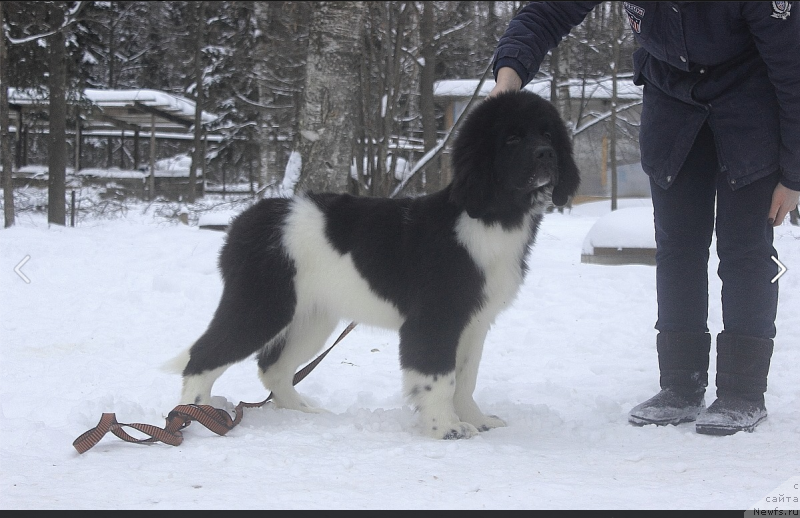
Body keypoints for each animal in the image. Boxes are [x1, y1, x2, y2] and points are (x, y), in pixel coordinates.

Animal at [172, 91, 580, 440]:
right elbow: (440, 376)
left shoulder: (475, 322)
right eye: (511, 139)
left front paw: (475, 419)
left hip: (311, 317)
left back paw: (302, 412)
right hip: (262, 305)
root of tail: (243, 220)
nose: (546, 154)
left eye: (547, 133)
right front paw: (445, 427)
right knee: (203, 356)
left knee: (273, 367)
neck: (491, 218)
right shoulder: (435, 318)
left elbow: (466, 377)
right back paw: (197, 416)